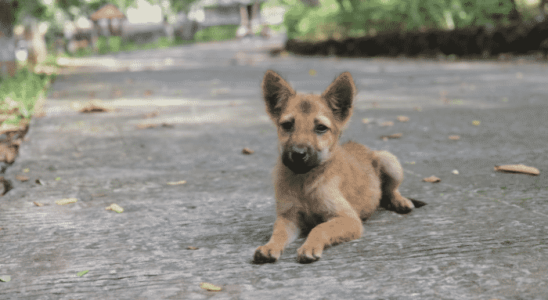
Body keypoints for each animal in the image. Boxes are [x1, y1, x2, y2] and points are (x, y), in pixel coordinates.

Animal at [253, 69, 424, 262]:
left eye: (321, 128)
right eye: (287, 125)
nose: (298, 153)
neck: (305, 181)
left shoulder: (348, 219)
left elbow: (319, 228)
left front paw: (310, 246)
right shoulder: (288, 217)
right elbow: (278, 233)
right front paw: (270, 246)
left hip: (389, 160)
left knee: (392, 190)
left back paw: (400, 201)